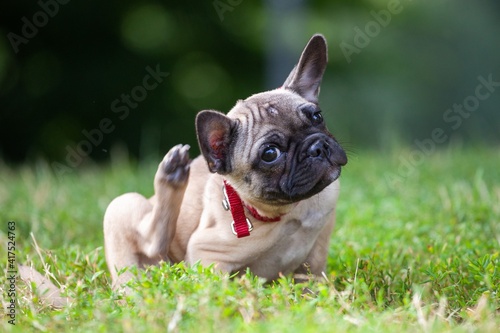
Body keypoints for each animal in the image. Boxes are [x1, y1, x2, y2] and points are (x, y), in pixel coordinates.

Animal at [103, 34, 346, 288]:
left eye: (317, 116)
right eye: (270, 154)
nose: (316, 147)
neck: (290, 211)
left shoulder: (318, 246)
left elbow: (312, 275)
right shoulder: (208, 255)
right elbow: (217, 288)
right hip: (122, 207)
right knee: (149, 248)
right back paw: (170, 176)